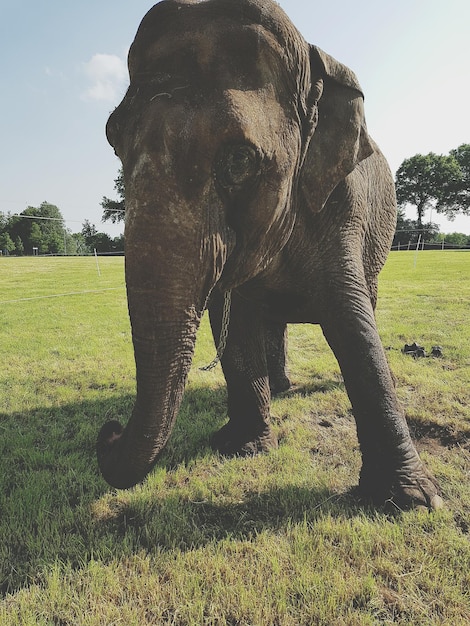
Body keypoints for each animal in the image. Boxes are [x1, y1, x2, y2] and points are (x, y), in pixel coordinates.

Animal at [97, 0, 442, 510]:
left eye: (240, 160)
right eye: (112, 137)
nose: (111, 431)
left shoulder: (342, 206)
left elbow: (351, 321)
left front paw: (412, 501)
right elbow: (235, 321)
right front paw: (242, 447)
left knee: (369, 301)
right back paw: (280, 388)